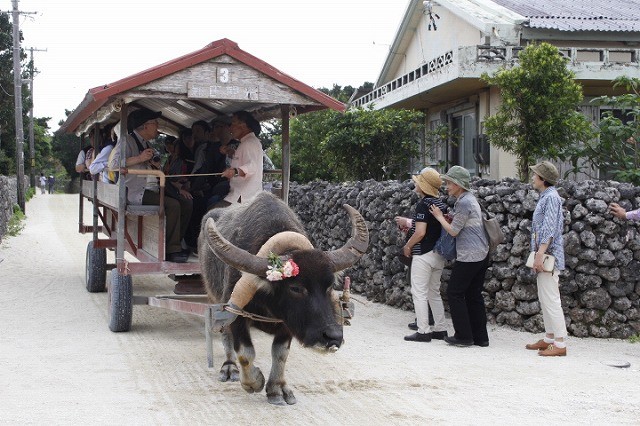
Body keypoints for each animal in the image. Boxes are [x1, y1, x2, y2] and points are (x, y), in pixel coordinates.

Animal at [200, 191, 370, 404]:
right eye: (295, 288)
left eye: (330, 285)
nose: (333, 337)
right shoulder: (236, 313)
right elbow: (246, 352)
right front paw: (253, 382)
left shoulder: (287, 323)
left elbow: (280, 353)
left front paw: (277, 389)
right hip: (214, 298)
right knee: (225, 334)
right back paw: (229, 367)